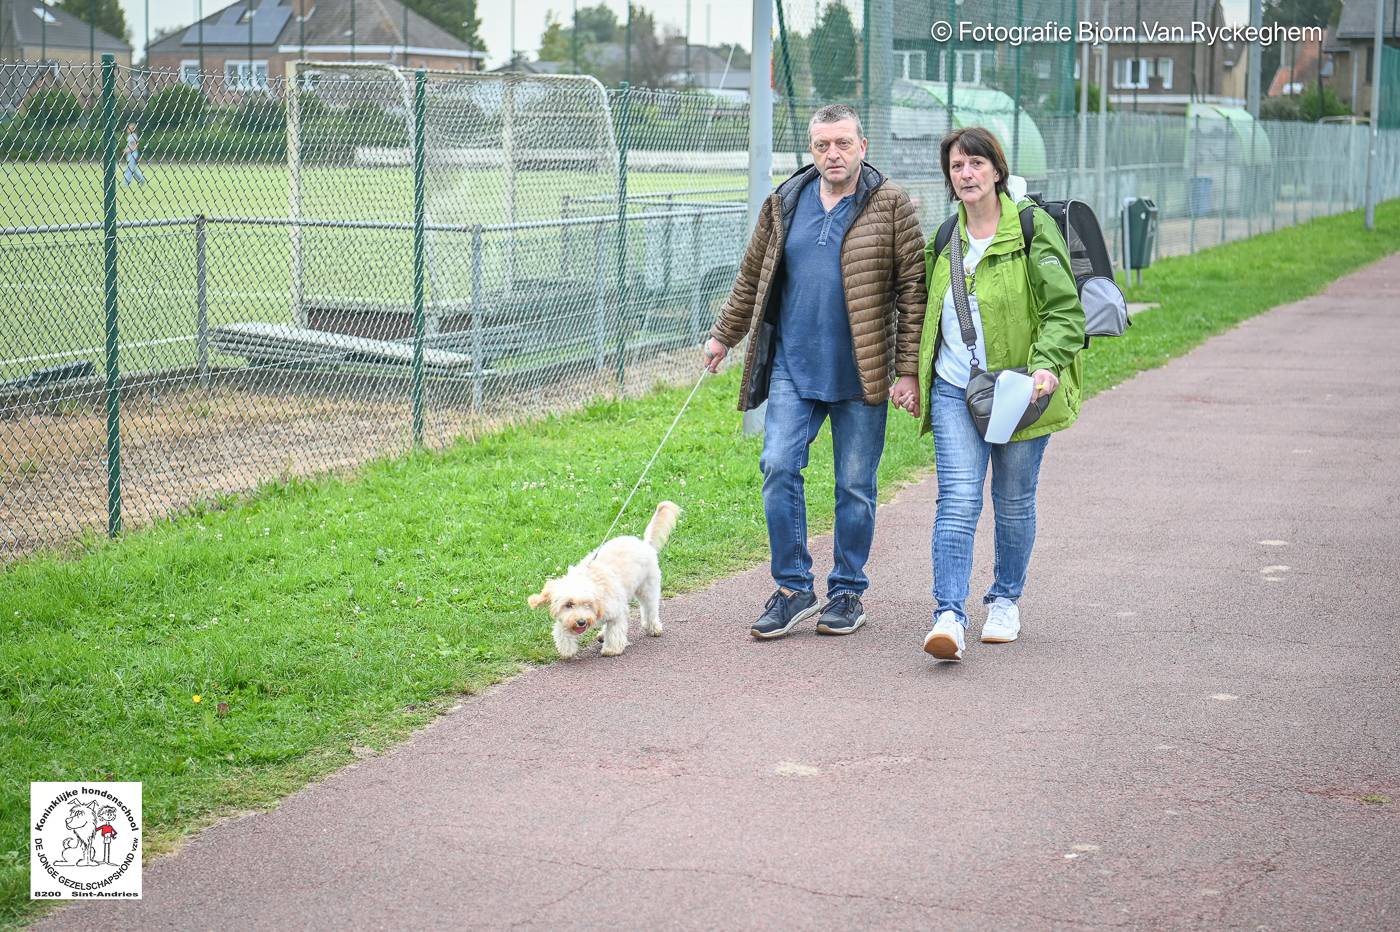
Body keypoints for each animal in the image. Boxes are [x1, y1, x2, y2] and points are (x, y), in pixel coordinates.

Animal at [526, 500, 680, 652]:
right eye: (568, 604)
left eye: (588, 604)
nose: (581, 622)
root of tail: (644, 543)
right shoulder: (566, 618)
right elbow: (562, 631)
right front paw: (567, 650)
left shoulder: (617, 611)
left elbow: (615, 630)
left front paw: (611, 649)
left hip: (648, 587)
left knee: (650, 609)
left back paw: (653, 628)